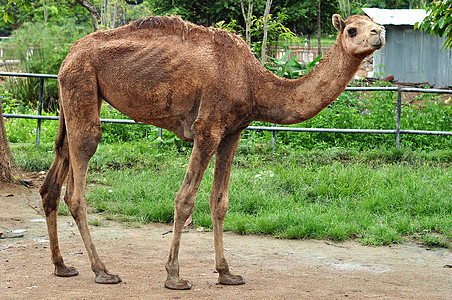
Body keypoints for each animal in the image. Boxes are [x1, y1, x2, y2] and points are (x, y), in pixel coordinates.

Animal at [38, 12, 384, 290]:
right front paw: (174, 276)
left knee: (52, 180)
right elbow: (184, 200)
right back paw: (103, 270)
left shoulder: (232, 132)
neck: (254, 83)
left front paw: (226, 273)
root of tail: (67, 55)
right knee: (78, 180)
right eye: (352, 29)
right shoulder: (208, 127)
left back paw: (62, 266)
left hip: (72, 98)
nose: (379, 32)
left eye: (372, 23)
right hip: (82, 85)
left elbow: (220, 201)